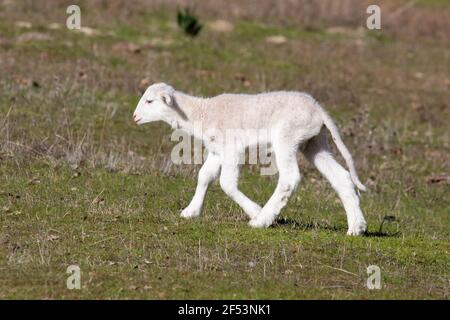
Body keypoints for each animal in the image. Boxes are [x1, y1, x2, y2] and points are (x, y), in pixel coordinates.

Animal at [132, 82, 368, 235]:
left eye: (149, 101)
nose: (134, 117)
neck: (202, 113)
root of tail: (318, 109)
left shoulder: (231, 147)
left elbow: (226, 184)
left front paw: (254, 210)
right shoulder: (218, 150)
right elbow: (204, 176)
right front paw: (191, 211)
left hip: (287, 136)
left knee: (289, 179)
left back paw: (262, 220)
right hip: (313, 142)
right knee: (341, 177)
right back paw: (356, 227)